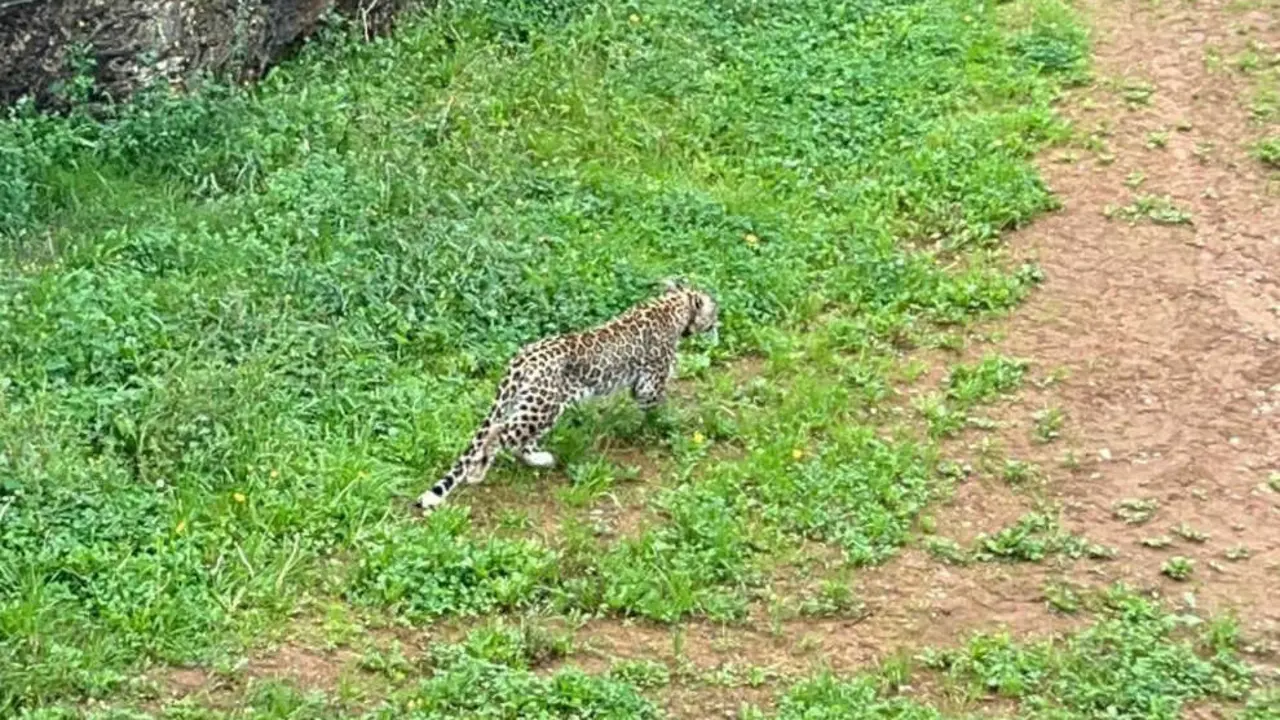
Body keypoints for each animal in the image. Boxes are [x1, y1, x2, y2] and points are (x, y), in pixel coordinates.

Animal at [419, 278, 721, 507]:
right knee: (499, 433)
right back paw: (478, 472)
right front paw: (667, 423)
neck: (673, 307)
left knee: (517, 439)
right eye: (714, 311)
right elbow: (658, 407)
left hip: (532, 404)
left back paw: (540, 459)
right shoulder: (650, 384)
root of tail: (522, 359)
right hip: (543, 407)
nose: (718, 322)